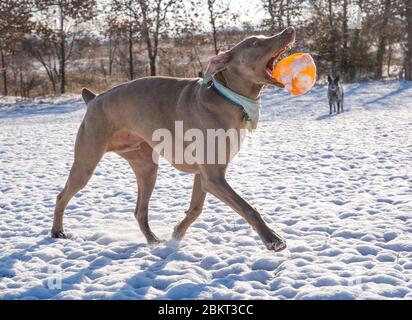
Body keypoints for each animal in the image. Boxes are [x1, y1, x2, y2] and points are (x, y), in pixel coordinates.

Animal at [52, 26, 296, 252]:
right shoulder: (213, 177)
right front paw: (273, 239)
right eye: (255, 43)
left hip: (146, 167)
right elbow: (247, 208)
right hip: (86, 162)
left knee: (140, 211)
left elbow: (196, 209)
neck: (228, 97)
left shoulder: (205, 175)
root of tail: (93, 98)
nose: (290, 29)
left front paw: (177, 233)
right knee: (62, 195)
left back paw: (153, 241)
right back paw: (57, 232)